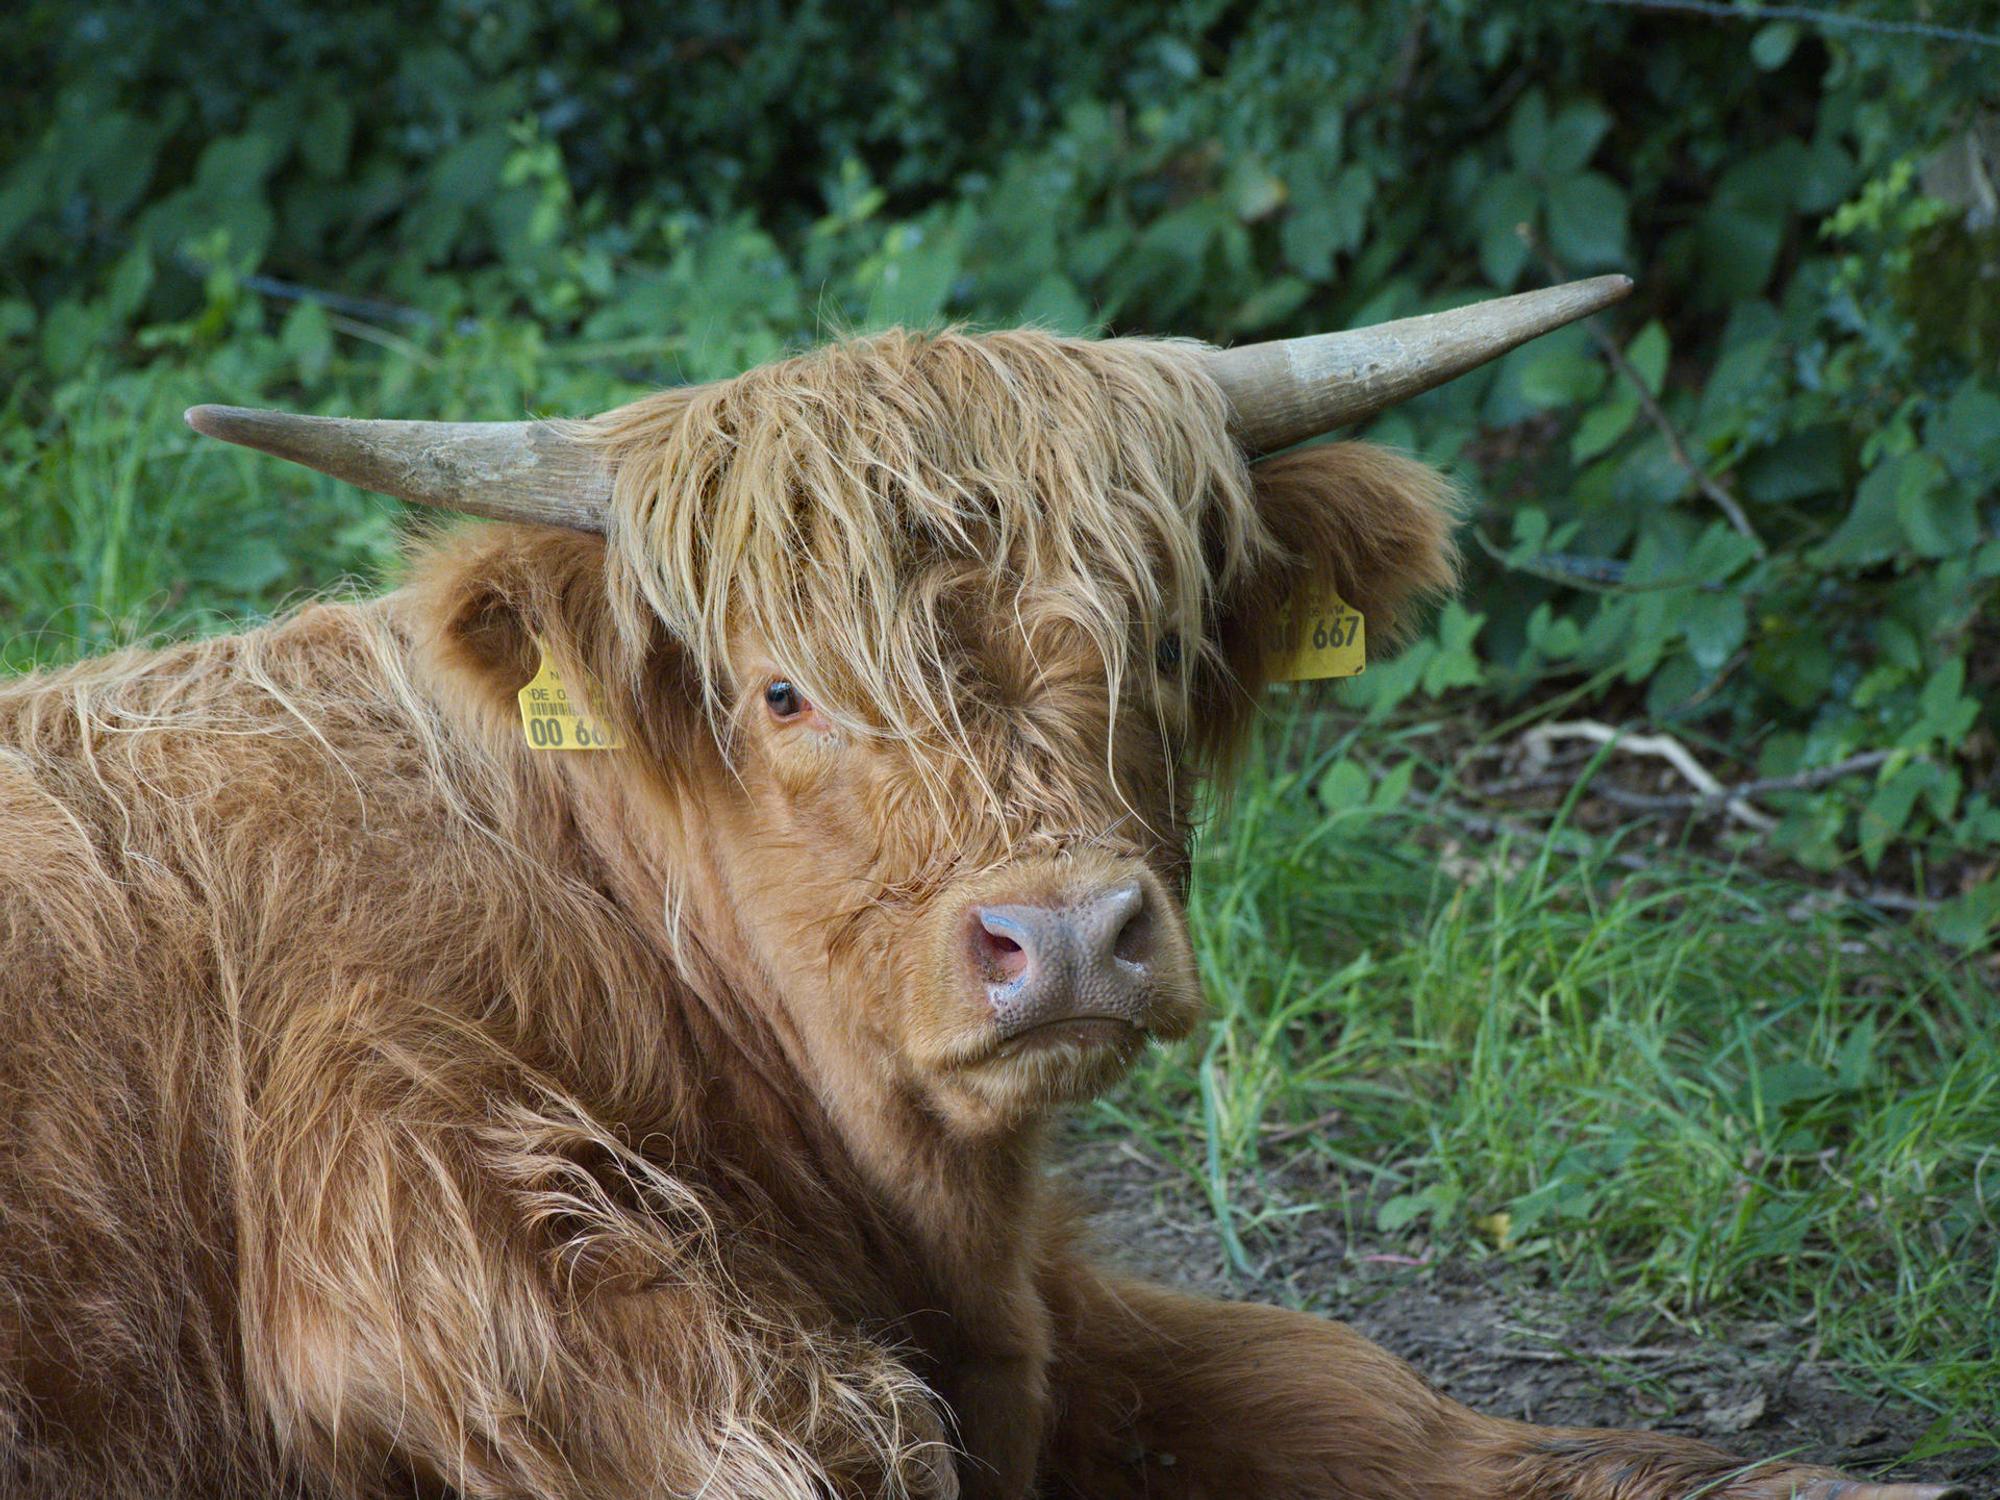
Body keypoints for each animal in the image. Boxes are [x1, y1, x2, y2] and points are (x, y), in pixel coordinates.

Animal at [0, 275, 1959, 1500]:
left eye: (1162, 643)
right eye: (783, 691)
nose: (1072, 939)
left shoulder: (1051, 1314)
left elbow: (1356, 1392)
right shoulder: (435, 1254)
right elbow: (854, 1443)